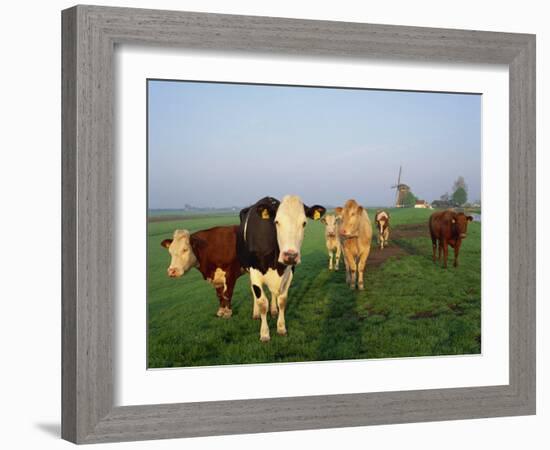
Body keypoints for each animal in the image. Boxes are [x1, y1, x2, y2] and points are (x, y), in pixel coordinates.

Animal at [238, 196, 328, 342]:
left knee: (274, 293)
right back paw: (255, 313)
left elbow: (282, 300)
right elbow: (262, 303)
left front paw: (281, 327)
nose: (290, 255)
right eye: (277, 222)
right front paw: (264, 333)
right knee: (253, 291)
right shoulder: (254, 271)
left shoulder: (289, 272)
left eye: (304, 223)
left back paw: (274, 310)